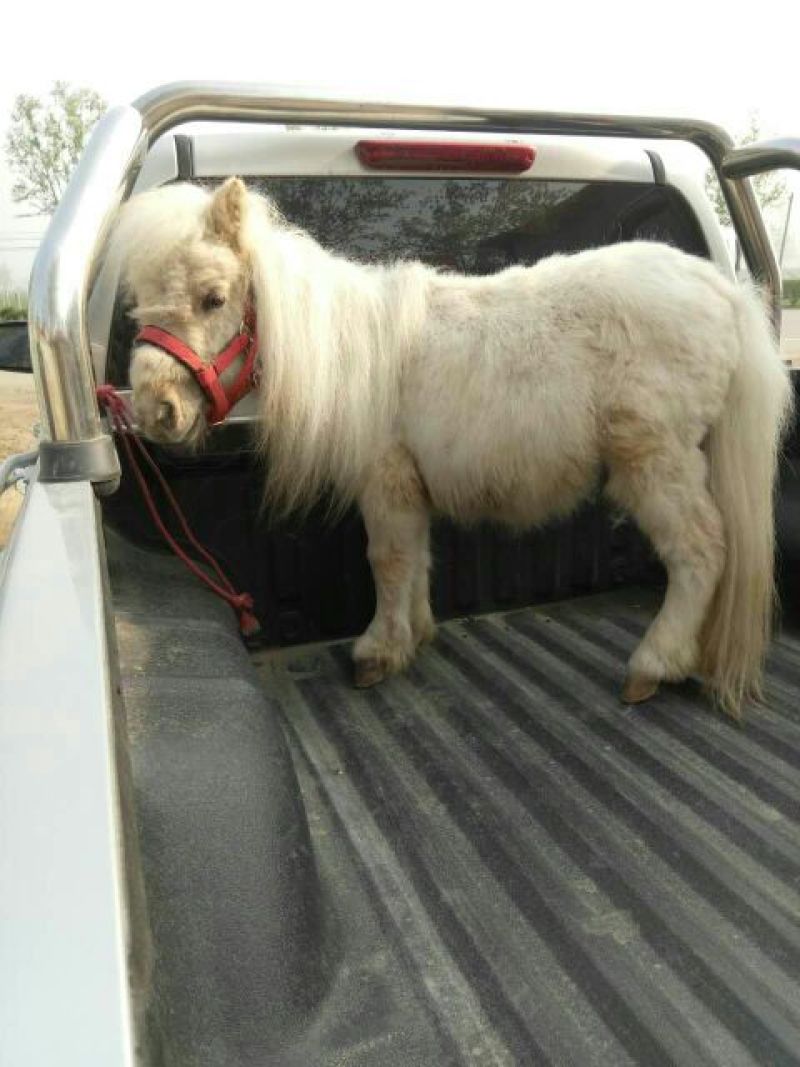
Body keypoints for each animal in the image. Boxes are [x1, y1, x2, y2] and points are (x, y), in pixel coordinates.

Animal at [109, 176, 792, 717]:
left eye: (214, 298)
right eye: (139, 299)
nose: (155, 410)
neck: (352, 352)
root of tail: (721, 292)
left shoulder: (384, 481)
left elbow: (387, 561)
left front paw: (378, 652)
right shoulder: (408, 486)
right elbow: (415, 560)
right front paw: (414, 636)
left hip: (656, 462)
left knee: (701, 551)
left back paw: (652, 664)